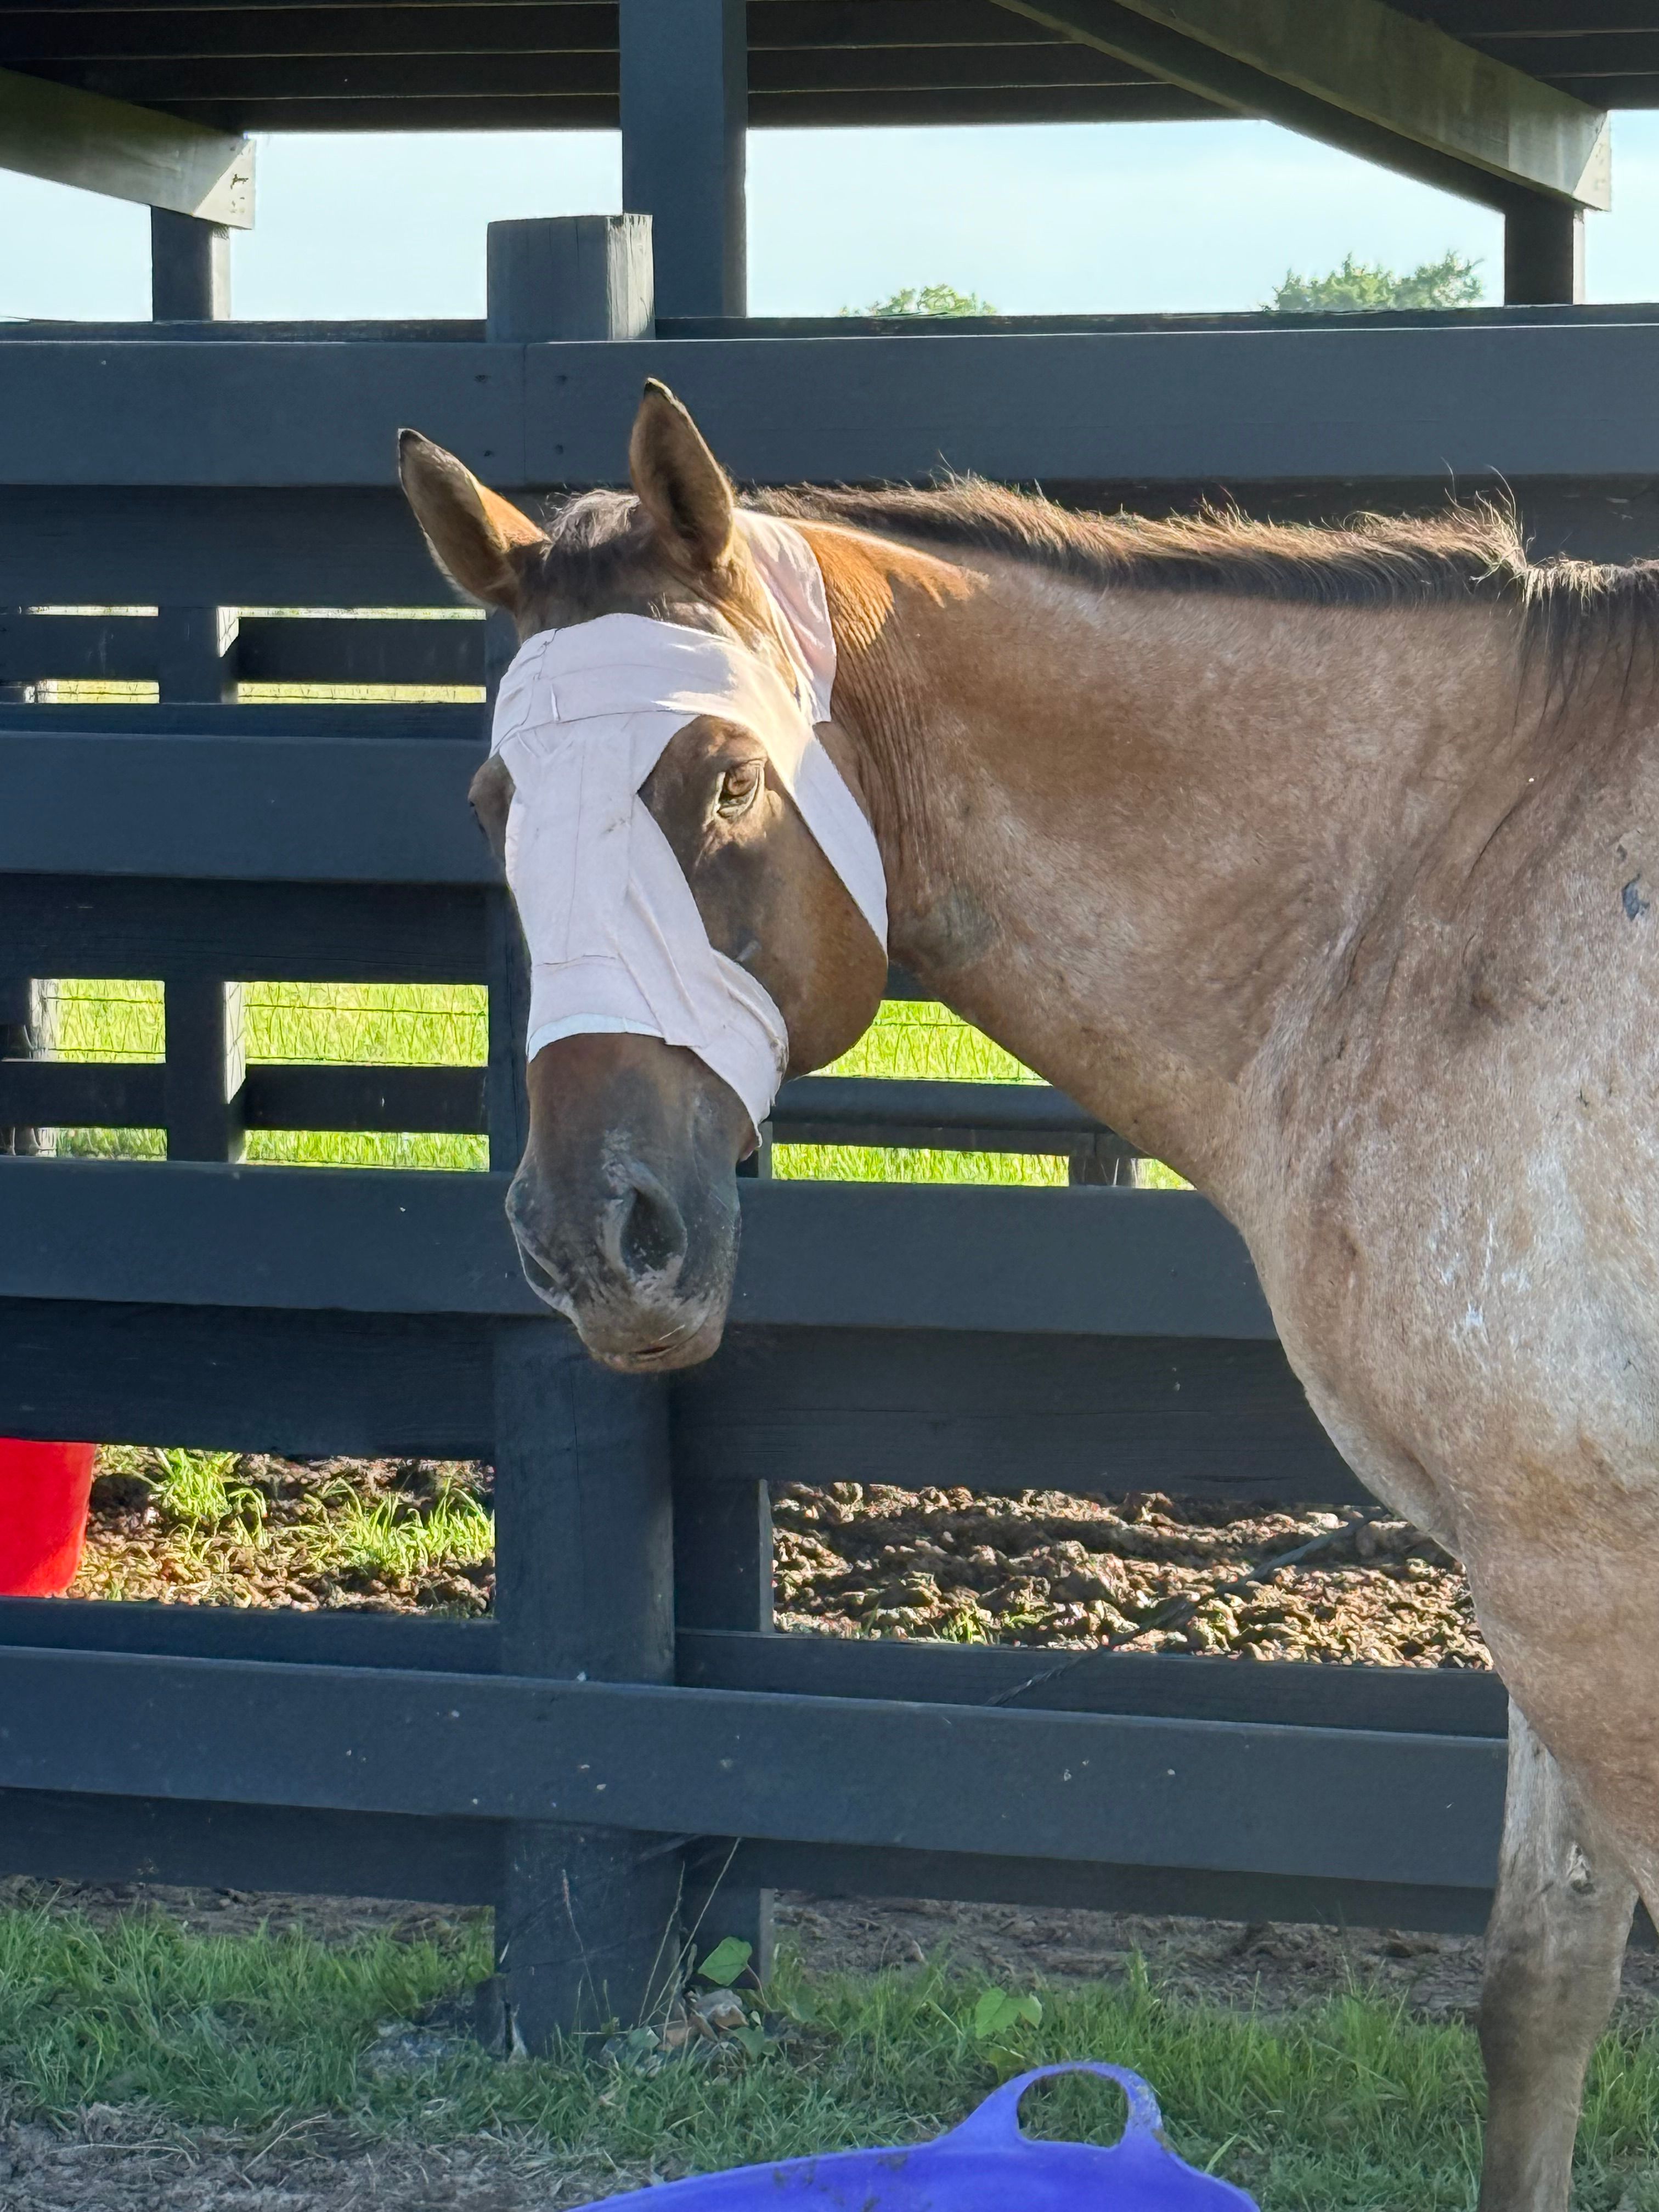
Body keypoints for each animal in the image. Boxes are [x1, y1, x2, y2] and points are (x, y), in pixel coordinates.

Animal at [400, 381, 1659, 2210]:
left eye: (723, 782)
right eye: (496, 803)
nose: (593, 1236)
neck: (1460, 883)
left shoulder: (1585, 1582)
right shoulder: (1536, 1554)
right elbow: (1539, 2000)